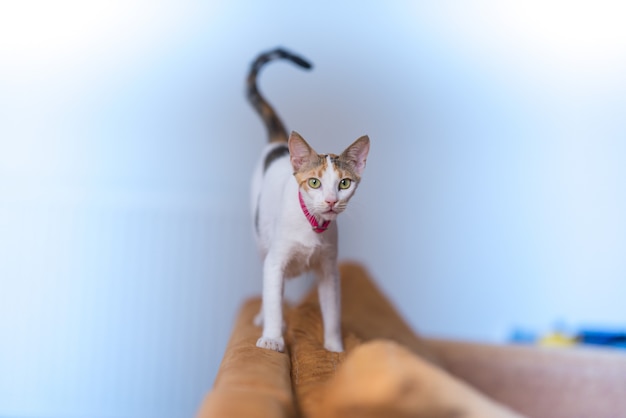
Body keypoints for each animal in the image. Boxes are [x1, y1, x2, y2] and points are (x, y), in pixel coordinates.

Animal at [246, 47, 368, 352]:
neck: (313, 225)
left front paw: (334, 347)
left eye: (344, 183)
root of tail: (278, 144)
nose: (331, 201)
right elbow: (273, 297)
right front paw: (273, 337)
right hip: (261, 240)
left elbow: (332, 311)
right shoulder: (276, 261)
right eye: (314, 182)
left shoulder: (329, 270)